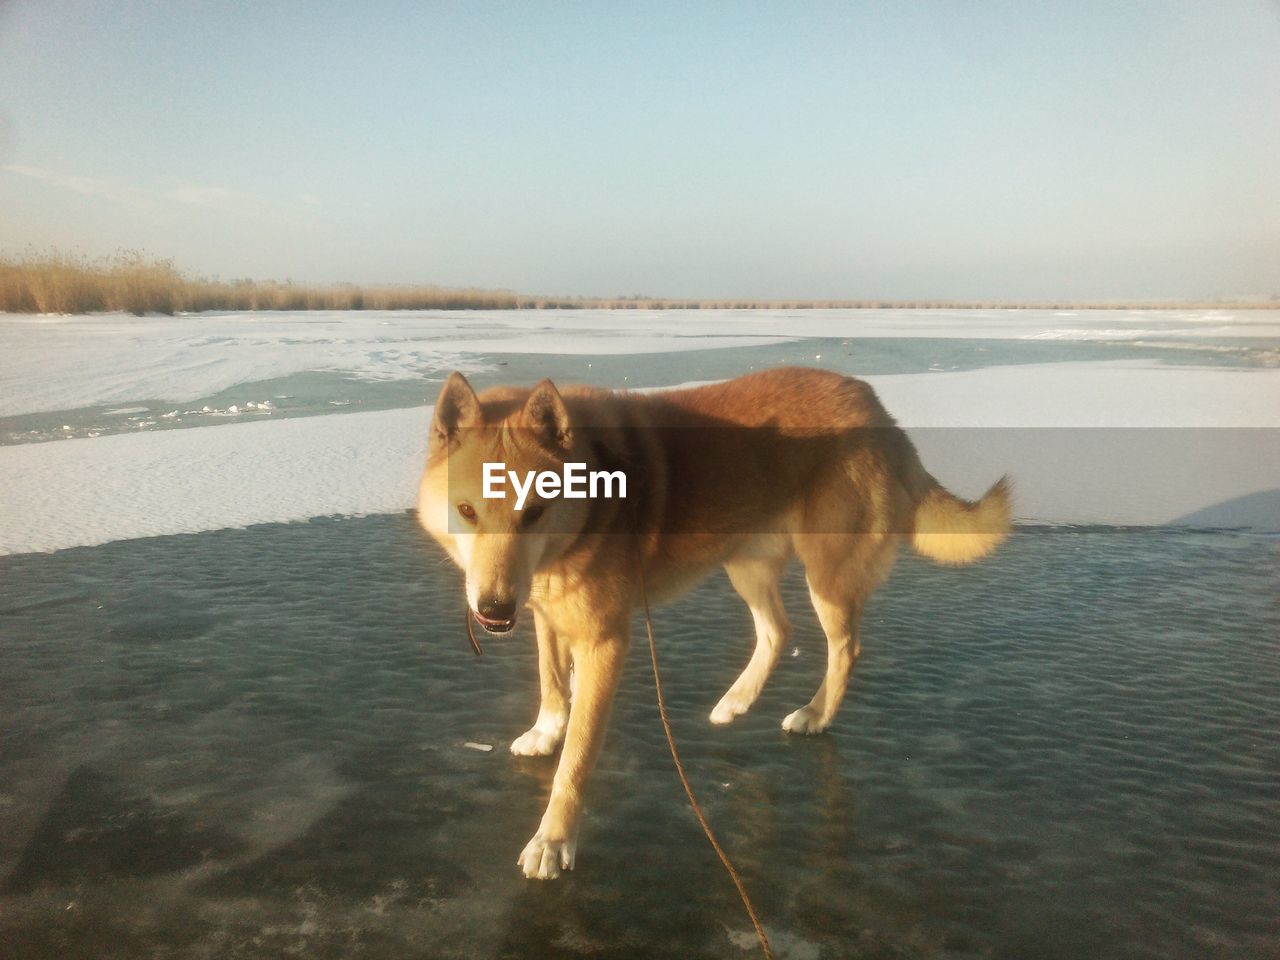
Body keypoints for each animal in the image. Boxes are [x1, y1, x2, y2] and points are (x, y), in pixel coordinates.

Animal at [417, 368, 1008, 880]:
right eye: (467, 511)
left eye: (534, 512)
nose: (494, 610)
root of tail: (876, 406)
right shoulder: (546, 611)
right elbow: (551, 681)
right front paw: (546, 730)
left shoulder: (605, 640)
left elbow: (578, 755)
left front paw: (554, 838)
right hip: (745, 562)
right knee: (778, 631)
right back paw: (736, 701)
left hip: (826, 575)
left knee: (844, 647)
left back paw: (815, 714)